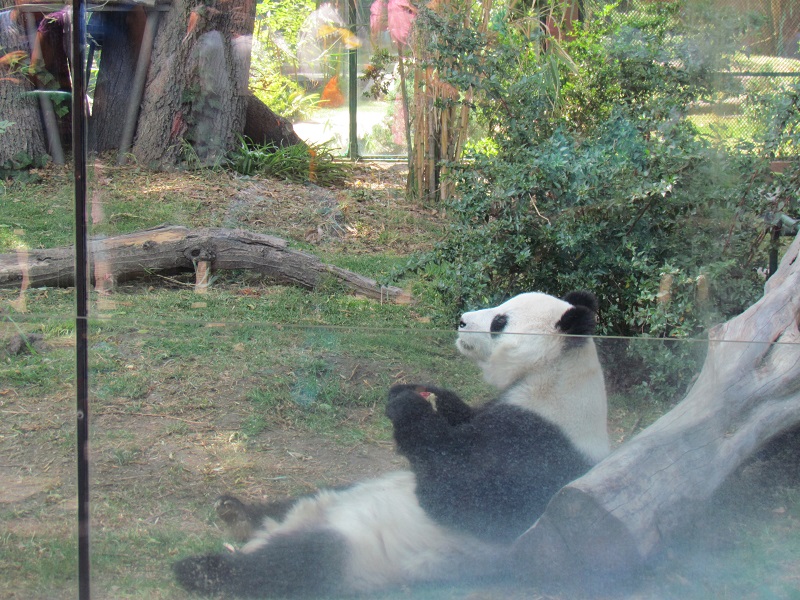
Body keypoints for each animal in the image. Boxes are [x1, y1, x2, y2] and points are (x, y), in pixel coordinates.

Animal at [175, 290, 608, 596]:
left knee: (295, 563)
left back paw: (203, 570)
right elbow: (460, 417)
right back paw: (238, 512)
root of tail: (286, 527)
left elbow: (469, 500)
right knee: (290, 505)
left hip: (358, 553)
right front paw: (418, 392)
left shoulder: (543, 445)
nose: (463, 320)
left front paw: (408, 407)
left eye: (500, 321)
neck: (555, 375)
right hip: (336, 493)